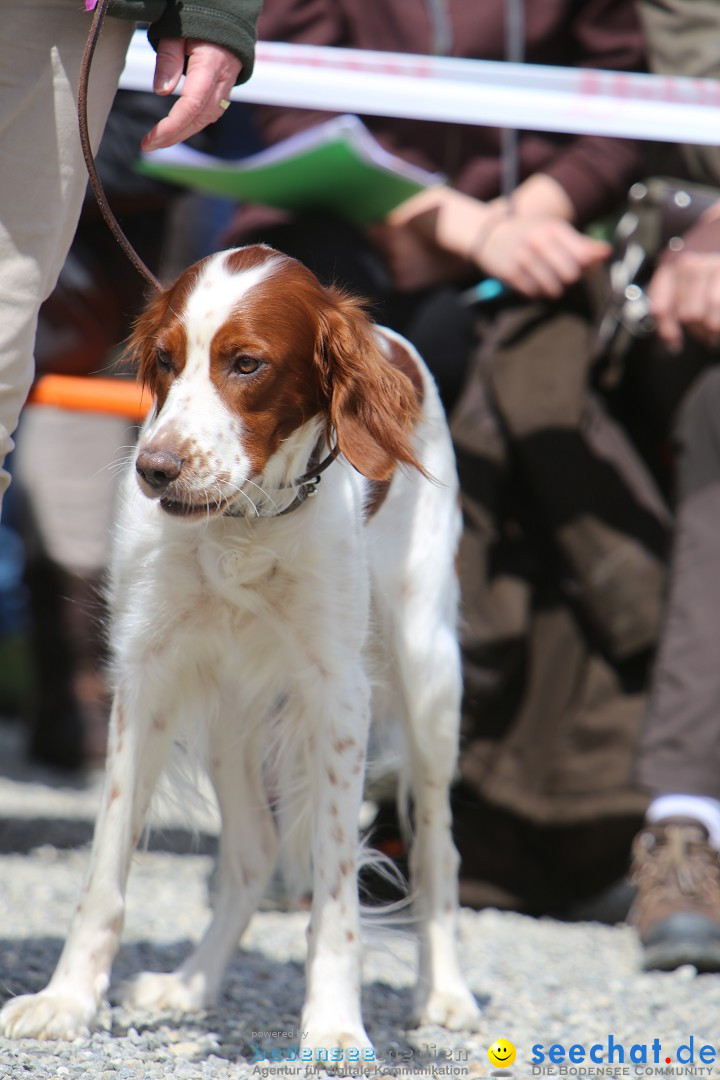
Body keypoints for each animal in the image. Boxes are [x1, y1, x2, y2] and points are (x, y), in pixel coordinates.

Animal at [2, 245, 483, 1054]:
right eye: (166, 361)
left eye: (247, 364)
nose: (155, 469)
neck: (244, 521)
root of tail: (395, 341)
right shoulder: (148, 676)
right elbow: (105, 872)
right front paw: (65, 1000)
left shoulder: (338, 693)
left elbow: (336, 888)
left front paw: (335, 1023)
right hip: (231, 711)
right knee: (255, 850)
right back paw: (193, 983)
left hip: (427, 673)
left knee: (439, 847)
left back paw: (446, 991)